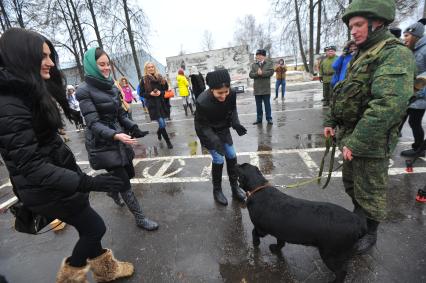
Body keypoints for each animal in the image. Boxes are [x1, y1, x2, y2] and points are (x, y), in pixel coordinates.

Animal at [236, 164, 366, 283]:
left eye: (240, 167)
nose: (236, 164)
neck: (259, 188)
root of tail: (357, 222)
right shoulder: (280, 232)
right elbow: (280, 243)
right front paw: (276, 248)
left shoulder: (261, 228)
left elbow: (254, 232)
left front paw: (255, 243)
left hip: (330, 254)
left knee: (341, 272)